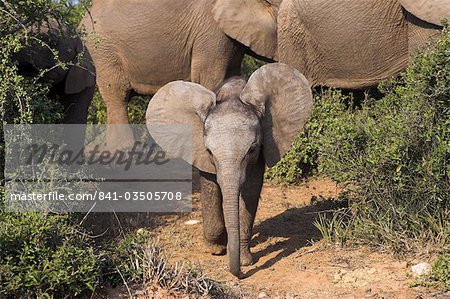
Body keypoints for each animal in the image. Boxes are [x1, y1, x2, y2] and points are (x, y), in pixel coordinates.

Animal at [146, 63, 312, 278]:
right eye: (209, 151)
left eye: (252, 149)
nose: (240, 273)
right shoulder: (201, 153)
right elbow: (210, 186)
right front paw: (216, 249)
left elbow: (250, 191)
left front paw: (246, 261)